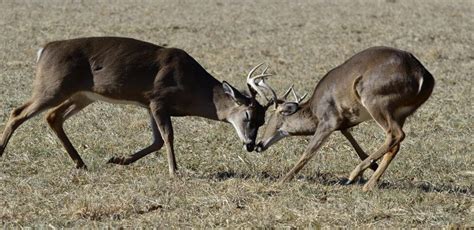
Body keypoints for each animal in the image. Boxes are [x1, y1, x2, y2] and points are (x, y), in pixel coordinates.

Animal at [0, 36, 274, 176]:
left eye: (262, 120)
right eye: (248, 115)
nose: (251, 145)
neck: (192, 87)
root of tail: (43, 50)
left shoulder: (148, 104)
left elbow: (157, 141)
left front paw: (118, 159)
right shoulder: (157, 99)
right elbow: (167, 137)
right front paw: (175, 172)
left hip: (81, 95)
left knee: (53, 117)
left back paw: (81, 163)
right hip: (52, 86)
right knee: (17, 112)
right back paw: (2, 153)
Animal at [256, 46, 434, 190]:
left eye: (275, 114)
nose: (258, 145)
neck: (314, 109)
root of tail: (421, 75)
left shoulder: (328, 121)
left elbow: (308, 151)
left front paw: (282, 181)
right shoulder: (343, 122)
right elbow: (350, 138)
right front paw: (373, 165)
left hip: (375, 101)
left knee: (396, 134)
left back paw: (354, 175)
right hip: (400, 113)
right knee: (395, 144)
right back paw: (369, 184)